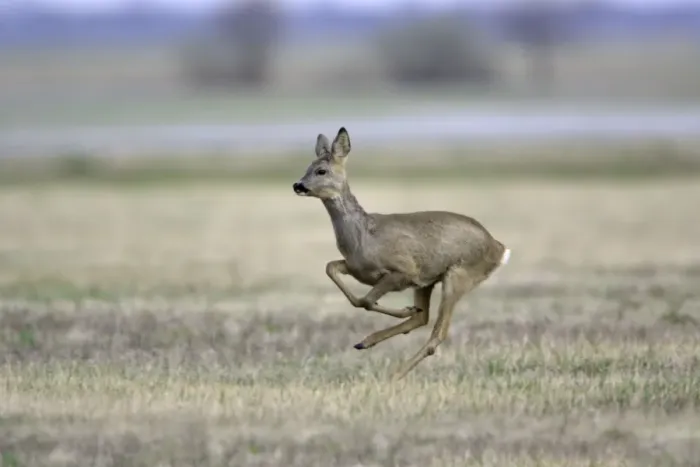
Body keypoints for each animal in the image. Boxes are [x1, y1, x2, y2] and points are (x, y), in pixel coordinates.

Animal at [292, 127, 511, 380]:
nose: (298, 185)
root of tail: (499, 248)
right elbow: (333, 270)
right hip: (429, 281)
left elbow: (367, 300)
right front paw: (405, 310)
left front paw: (402, 310)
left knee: (438, 332)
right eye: (308, 166)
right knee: (423, 318)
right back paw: (367, 342)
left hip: (459, 275)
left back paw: (394, 374)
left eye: (321, 170)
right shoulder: (358, 269)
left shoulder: (404, 271)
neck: (363, 237)